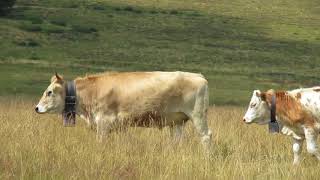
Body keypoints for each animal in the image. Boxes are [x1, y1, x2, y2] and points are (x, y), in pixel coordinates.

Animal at [35, 71, 212, 152]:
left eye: (49, 92)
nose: (36, 108)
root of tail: (199, 76)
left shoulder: (103, 123)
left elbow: (101, 142)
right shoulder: (121, 126)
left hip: (198, 115)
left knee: (206, 136)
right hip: (177, 122)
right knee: (177, 139)